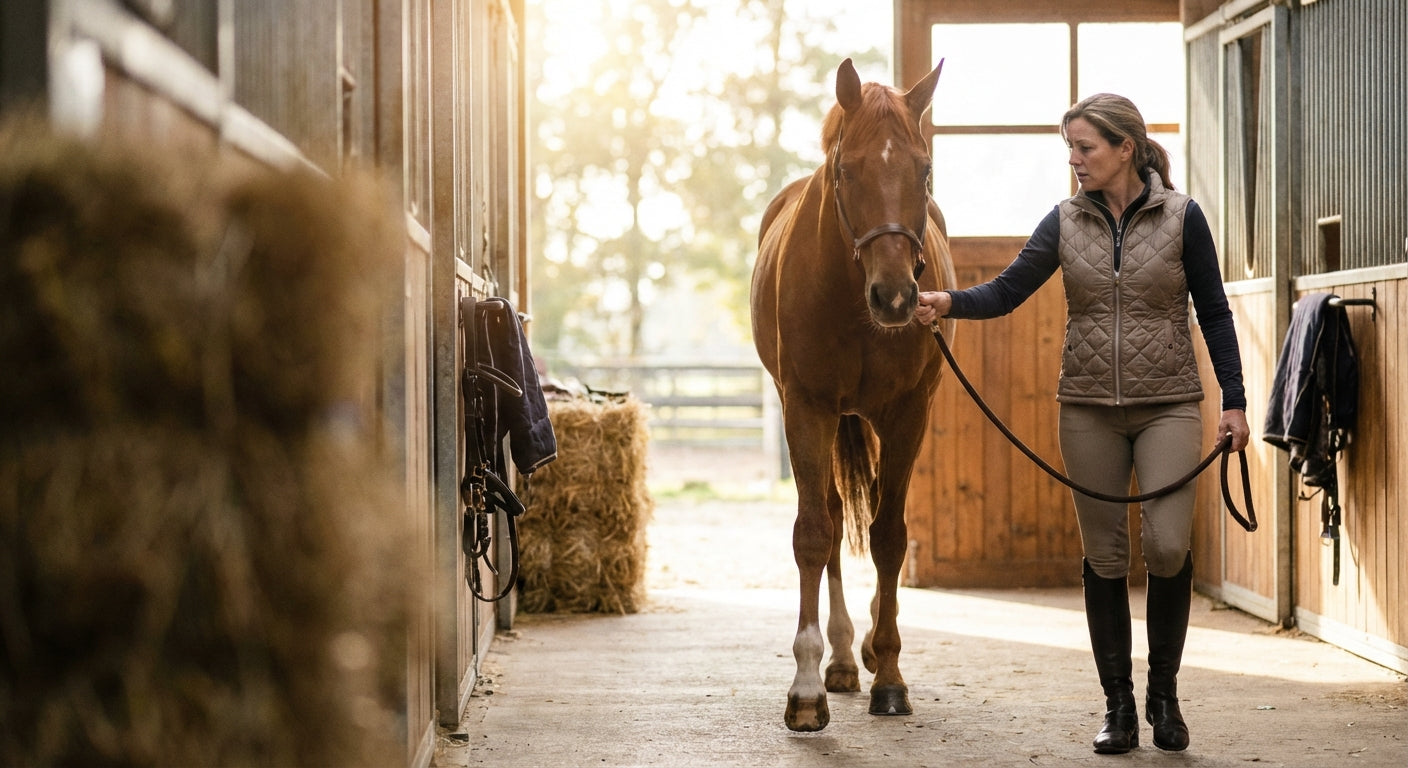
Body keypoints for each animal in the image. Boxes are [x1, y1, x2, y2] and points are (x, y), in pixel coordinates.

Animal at [750, 57, 955, 732]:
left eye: (924, 169)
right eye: (847, 170)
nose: (894, 298)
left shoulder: (908, 413)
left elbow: (890, 535)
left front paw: (889, 672)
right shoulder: (807, 407)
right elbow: (814, 533)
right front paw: (806, 688)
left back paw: (861, 650)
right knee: (835, 519)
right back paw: (839, 657)